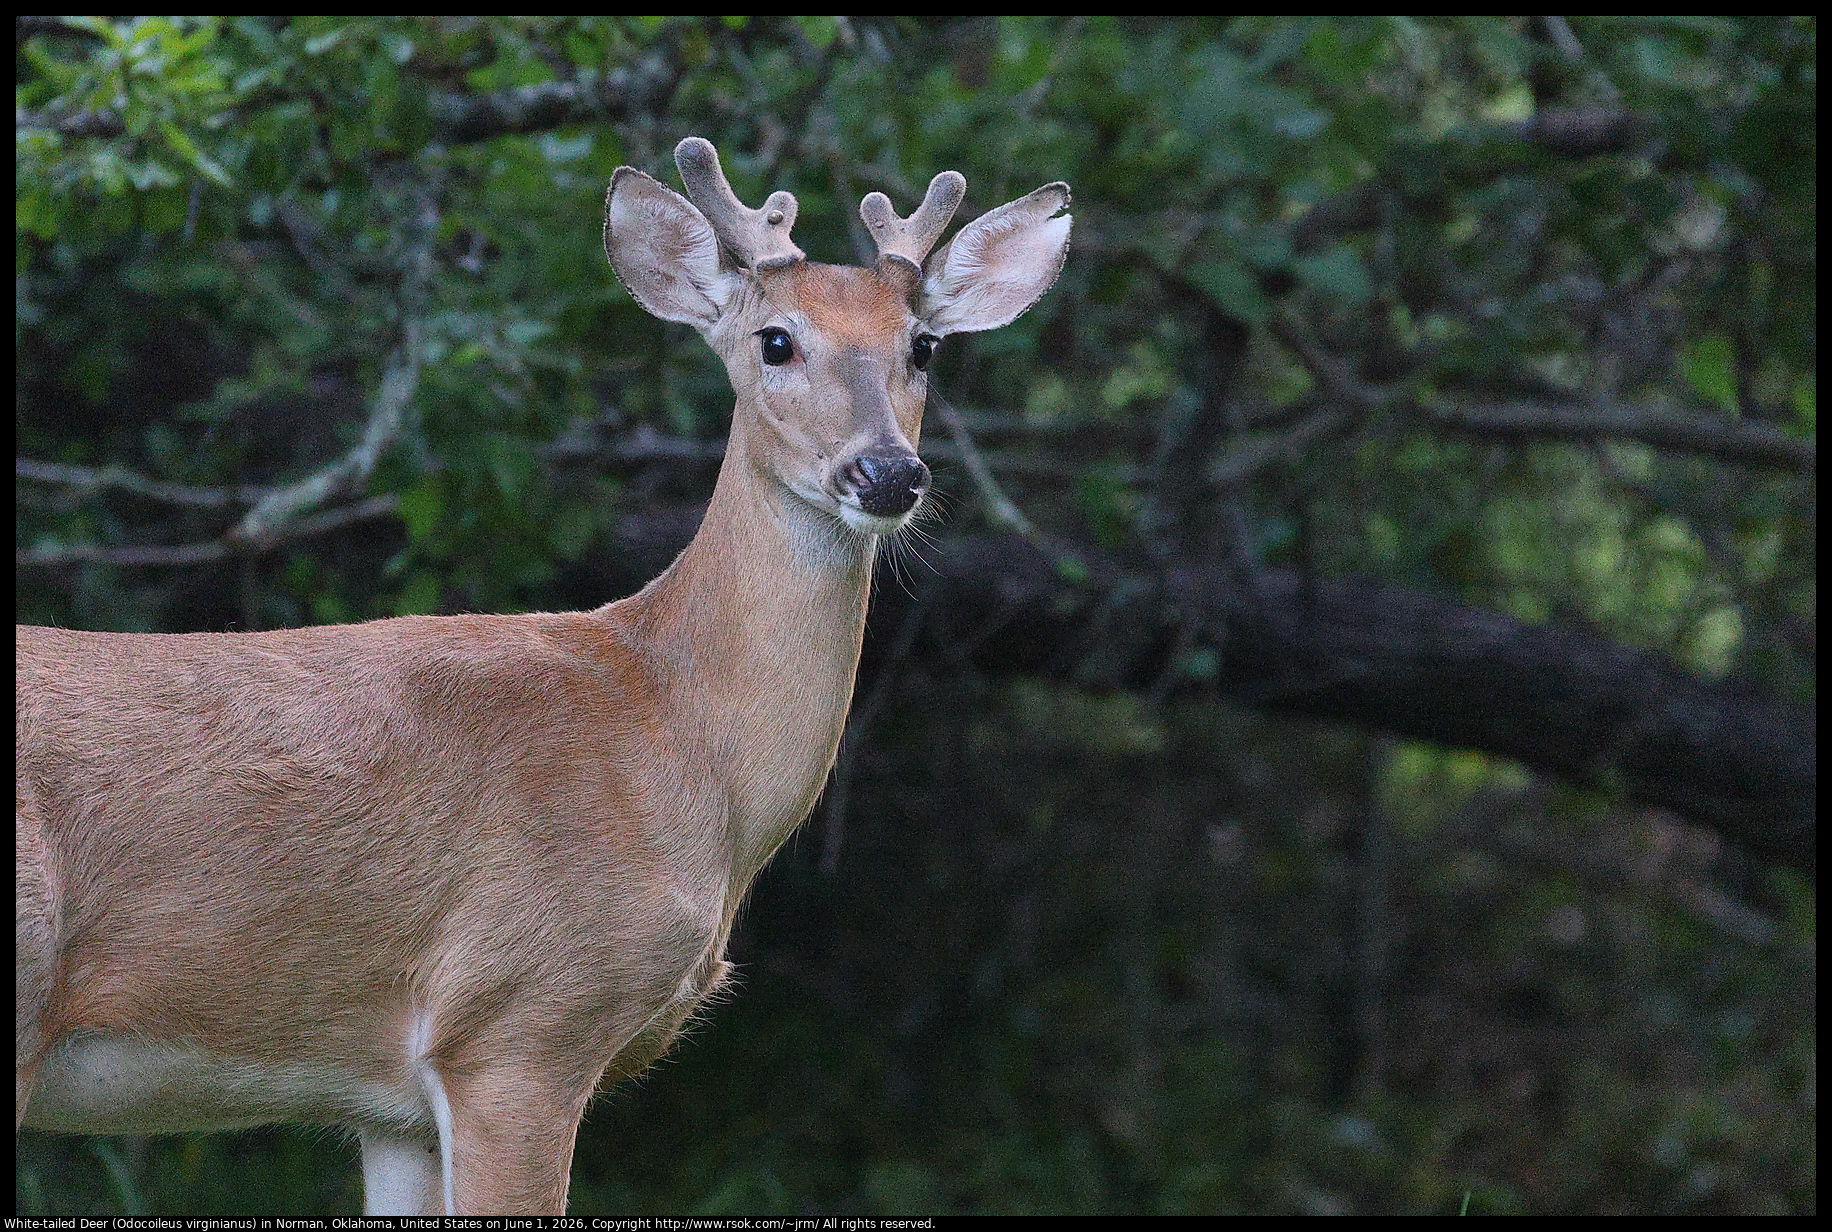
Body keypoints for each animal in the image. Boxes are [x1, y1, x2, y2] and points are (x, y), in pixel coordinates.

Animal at [15, 137, 1070, 1215]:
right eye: (775, 341)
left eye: (924, 347)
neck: (677, 738)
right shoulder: (520, 1020)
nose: (887, 473)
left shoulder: (387, 1105)